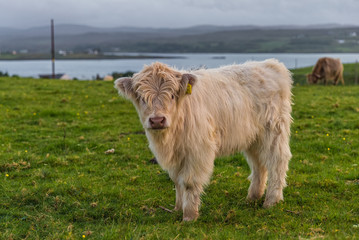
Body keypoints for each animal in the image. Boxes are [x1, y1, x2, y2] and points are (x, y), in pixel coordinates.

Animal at [116, 59, 294, 221]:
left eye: (172, 95)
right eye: (142, 98)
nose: (157, 120)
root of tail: (271, 64)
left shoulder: (197, 150)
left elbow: (188, 182)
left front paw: (189, 216)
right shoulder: (176, 156)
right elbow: (176, 180)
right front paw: (177, 208)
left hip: (274, 131)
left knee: (277, 161)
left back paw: (271, 201)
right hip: (253, 138)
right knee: (258, 165)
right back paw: (252, 197)